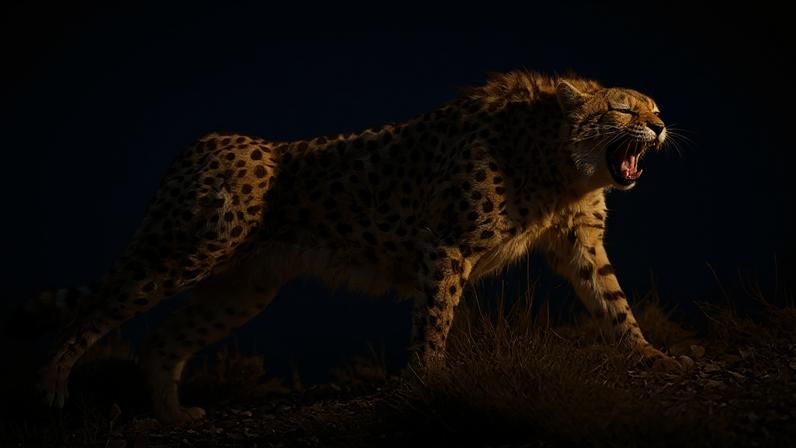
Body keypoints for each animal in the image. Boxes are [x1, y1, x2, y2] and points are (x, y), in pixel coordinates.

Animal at [26, 70, 678, 424]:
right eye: (624, 108)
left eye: (655, 108)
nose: (660, 126)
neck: (557, 159)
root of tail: (203, 142)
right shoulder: (445, 246)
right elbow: (433, 320)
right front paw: (427, 382)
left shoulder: (579, 246)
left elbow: (614, 303)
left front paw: (652, 357)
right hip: (188, 249)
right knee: (99, 308)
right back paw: (52, 381)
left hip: (243, 286)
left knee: (162, 339)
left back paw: (171, 413)